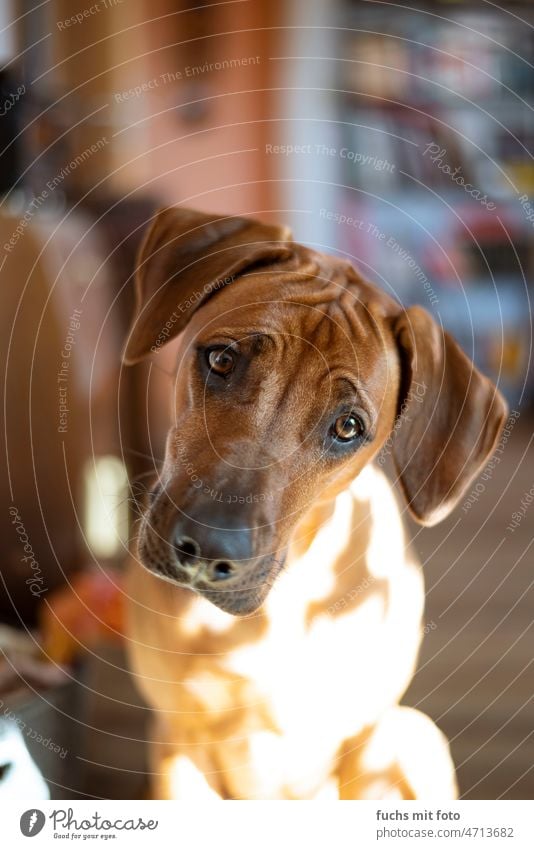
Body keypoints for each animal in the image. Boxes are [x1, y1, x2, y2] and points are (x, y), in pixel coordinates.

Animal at [123, 207, 508, 800]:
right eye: (222, 359)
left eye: (348, 427)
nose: (207, 548)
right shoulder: (177, 742)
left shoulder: (367, 742)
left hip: (415, 735)